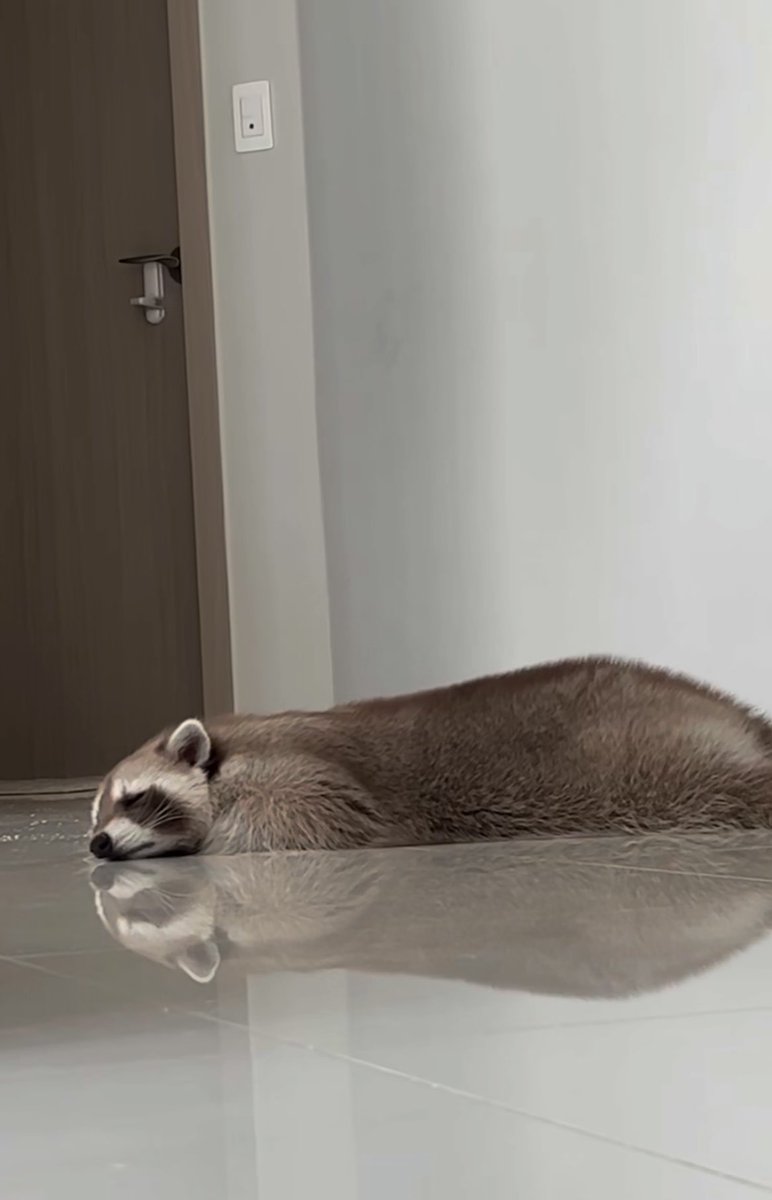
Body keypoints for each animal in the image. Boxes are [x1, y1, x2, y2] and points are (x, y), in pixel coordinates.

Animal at [88, 656, 772, 861]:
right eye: (95, 816)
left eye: (136, 798)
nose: (97, 844)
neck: (227, 752)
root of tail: (728, 710)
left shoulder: (294, 773)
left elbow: (319, 819)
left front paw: (208, 842)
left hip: (647, 758)